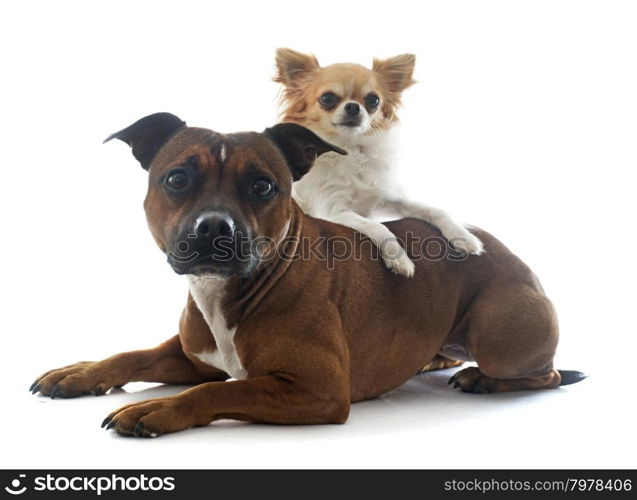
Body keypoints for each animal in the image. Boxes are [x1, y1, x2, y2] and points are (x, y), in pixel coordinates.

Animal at [29, 111, 588, 436]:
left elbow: (221, 391)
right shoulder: (192, 355)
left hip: (500, 335)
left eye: (262, 186)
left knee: (545, 374)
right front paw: (79, 373)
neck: (226, 293)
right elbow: (132, 355)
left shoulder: (317, 390)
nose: (215, 227)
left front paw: (158, 410)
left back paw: (481, 380)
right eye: (177, 178)